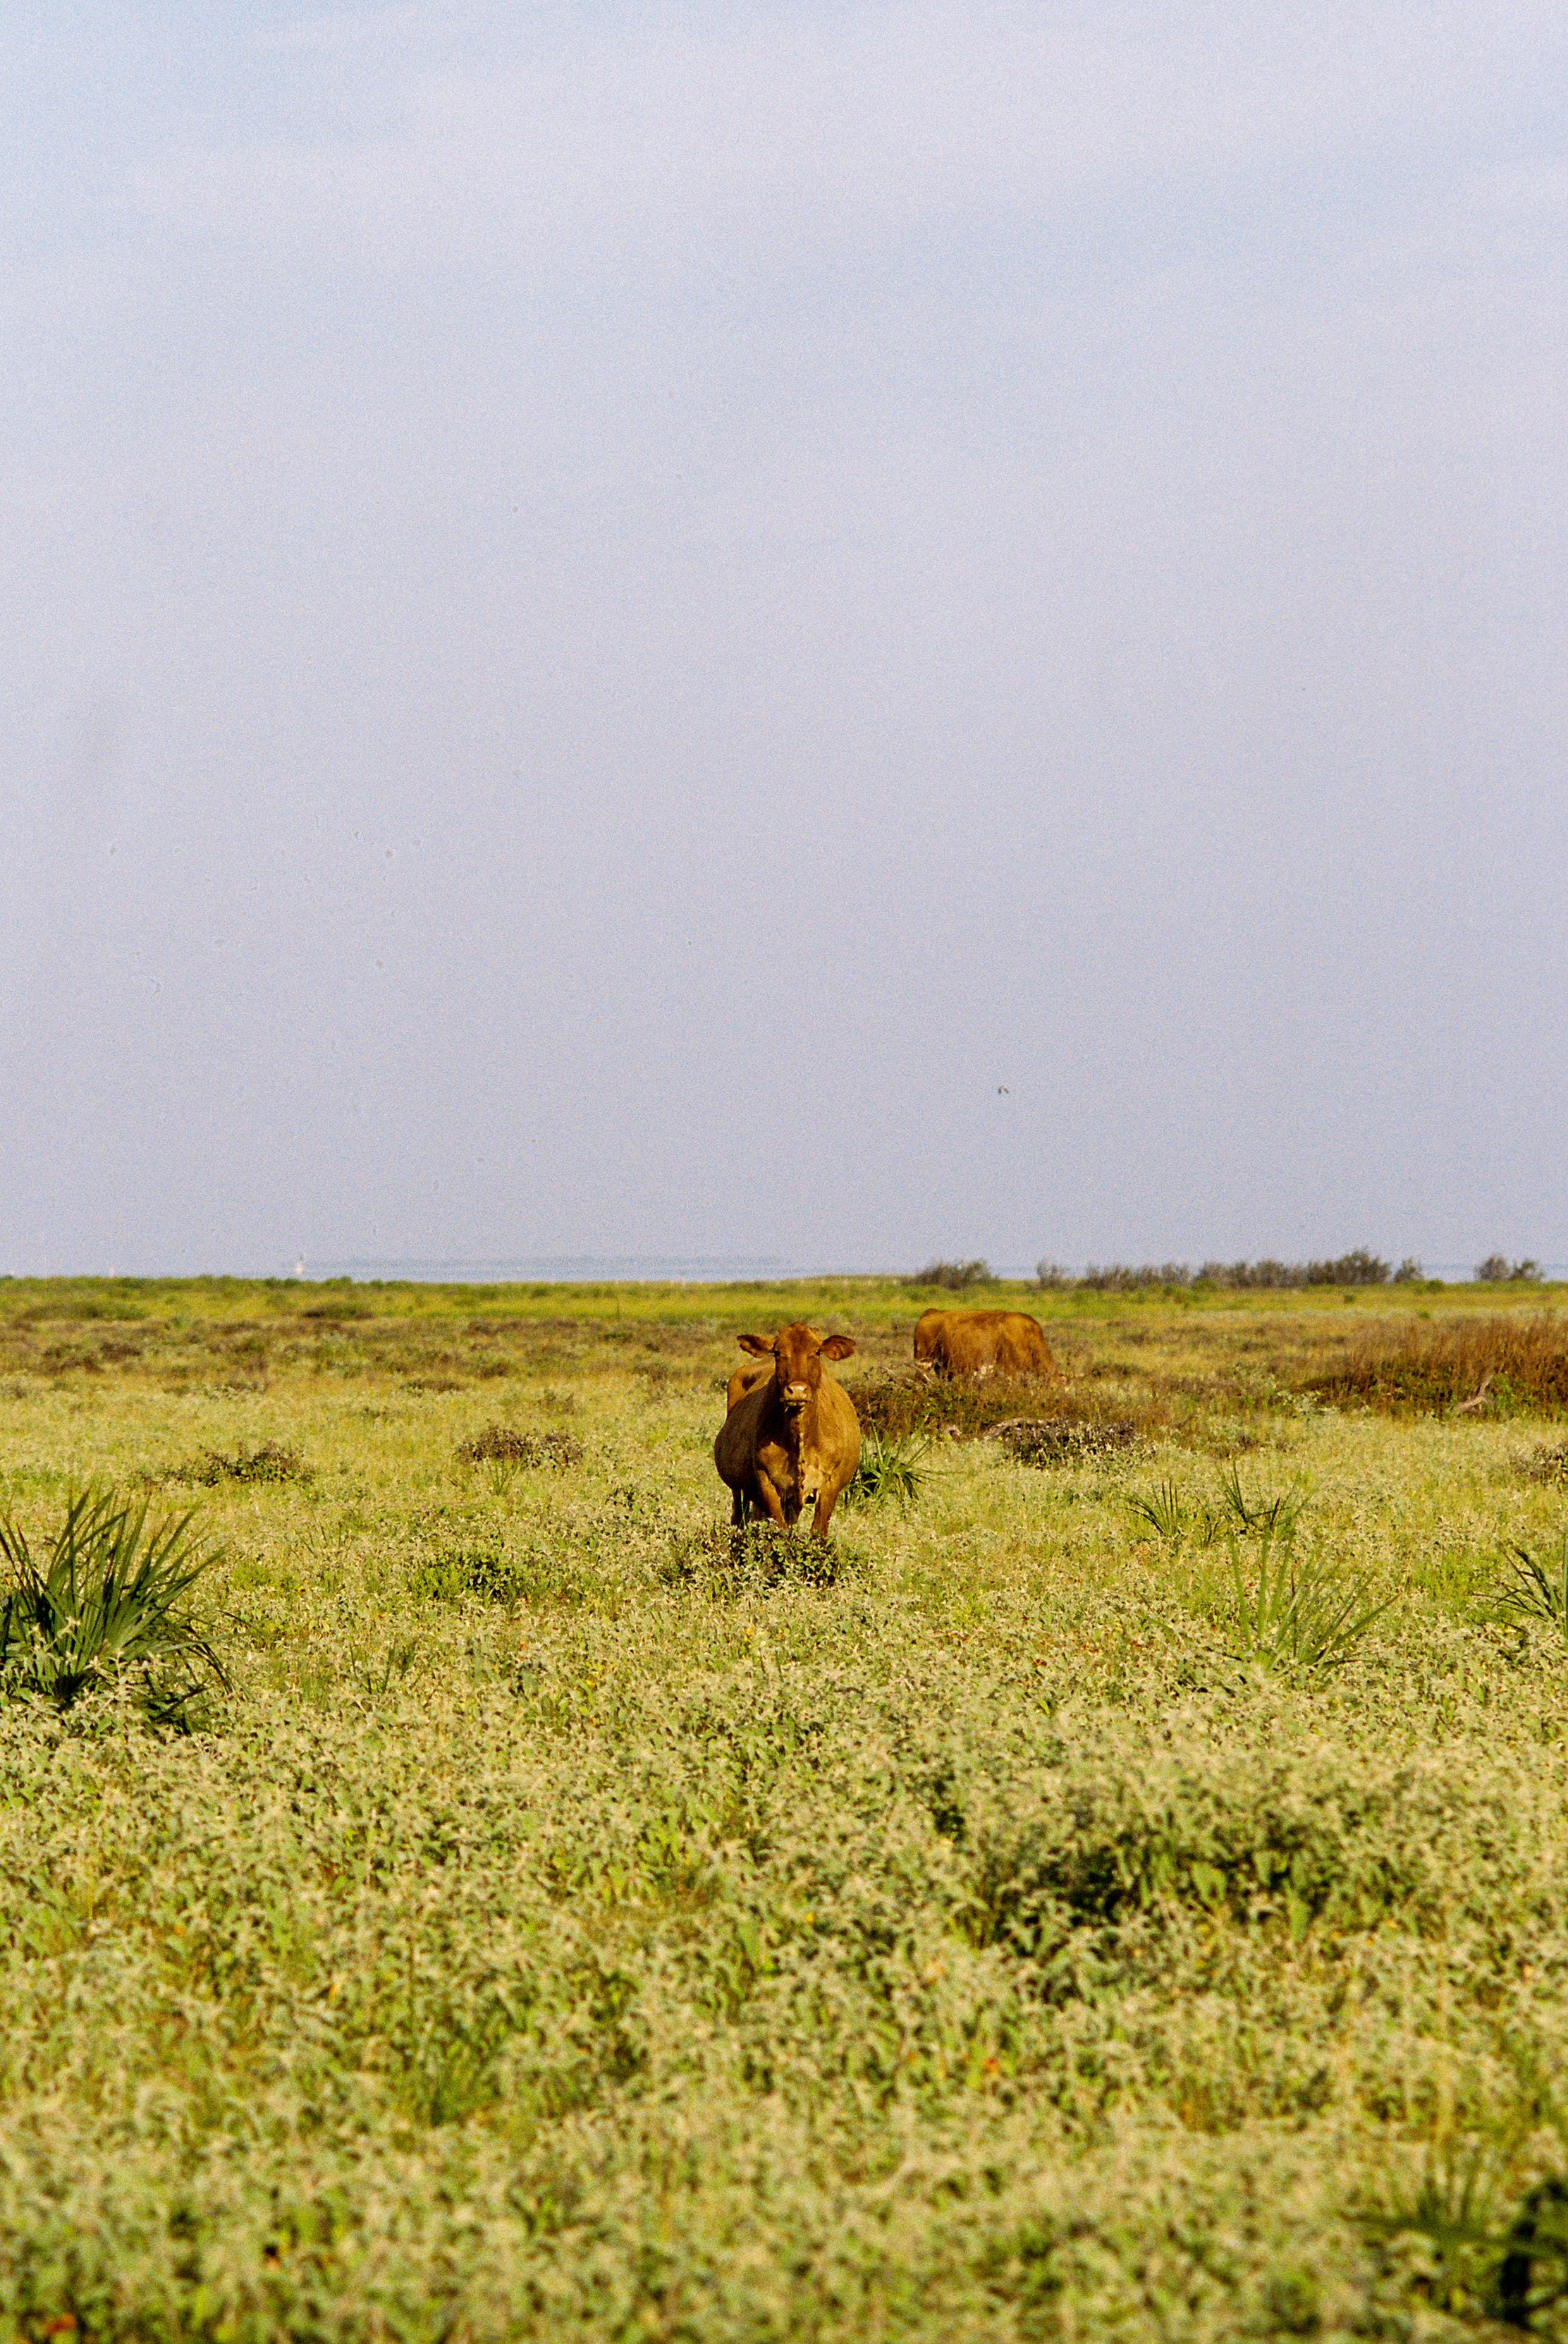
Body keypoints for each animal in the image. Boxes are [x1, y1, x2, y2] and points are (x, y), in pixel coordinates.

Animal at [713, 1323, 860, 1537]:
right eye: (777, 1352)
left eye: (817, 1352)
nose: (797, 1390)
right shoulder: (766, 1480)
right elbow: (779, 1528)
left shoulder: (830, 1482)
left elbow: (818, 1530)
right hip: (738, 1487)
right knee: (739, 1515)